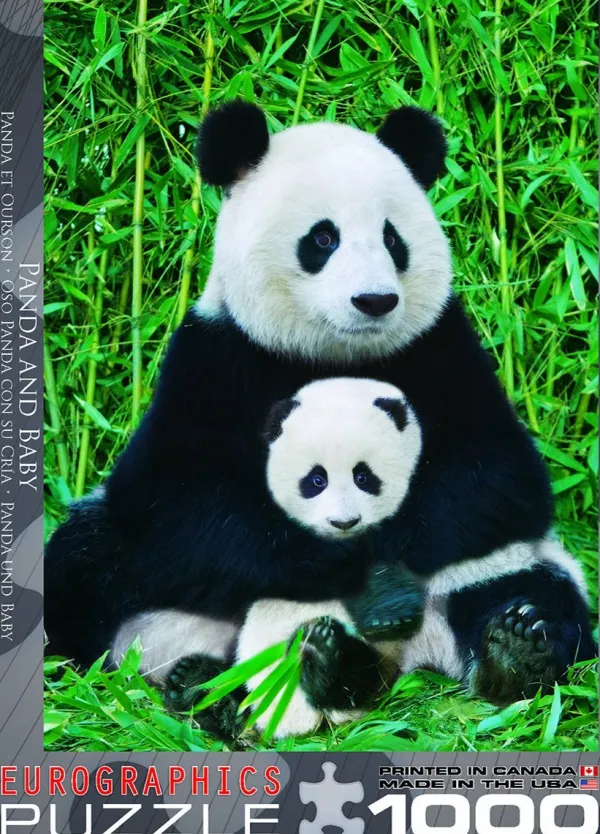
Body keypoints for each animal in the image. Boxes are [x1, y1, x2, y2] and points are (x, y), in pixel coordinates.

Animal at [44, 101, 595, 737]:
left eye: (392, 238)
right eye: (323, 238)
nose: (375, 301)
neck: (334, 355)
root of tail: (407, 659)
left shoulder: (442, 350)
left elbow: (496, 477)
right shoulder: (213, 359)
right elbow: (175, 502)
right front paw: (337, 557)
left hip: (503, 566)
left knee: (535, 591)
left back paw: (510, 650)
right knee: (84, 564)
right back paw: (211, 686)